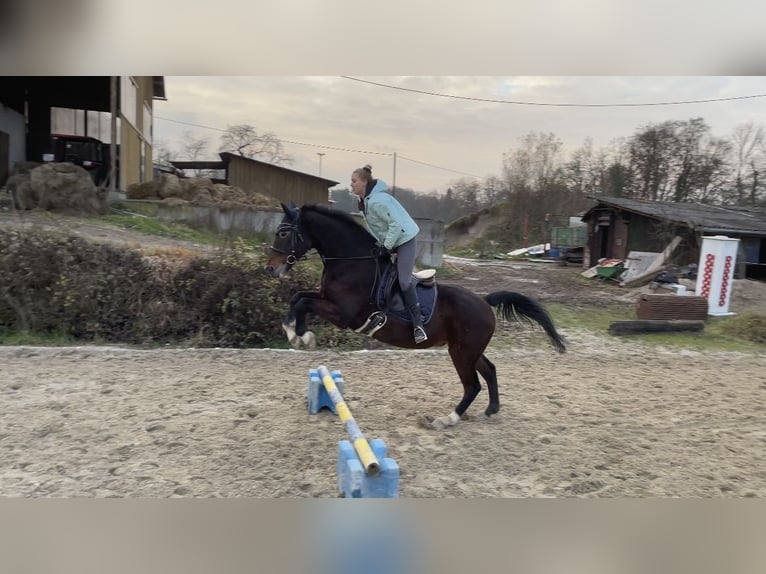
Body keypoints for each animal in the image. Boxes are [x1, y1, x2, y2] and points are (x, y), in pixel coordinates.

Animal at [268, 205, 568, 430]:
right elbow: (298, 298)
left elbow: (304, 302)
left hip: (461, 352)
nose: (270, 269)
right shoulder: (326, 299)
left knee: (472, 385)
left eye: (283, 232)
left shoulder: (343, 314)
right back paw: (491, 410)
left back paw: (447, 419)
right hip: (468, 349)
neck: (351, 263)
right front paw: (292, 330)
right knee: (490, 370)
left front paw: (302, 335)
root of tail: (484, 301)